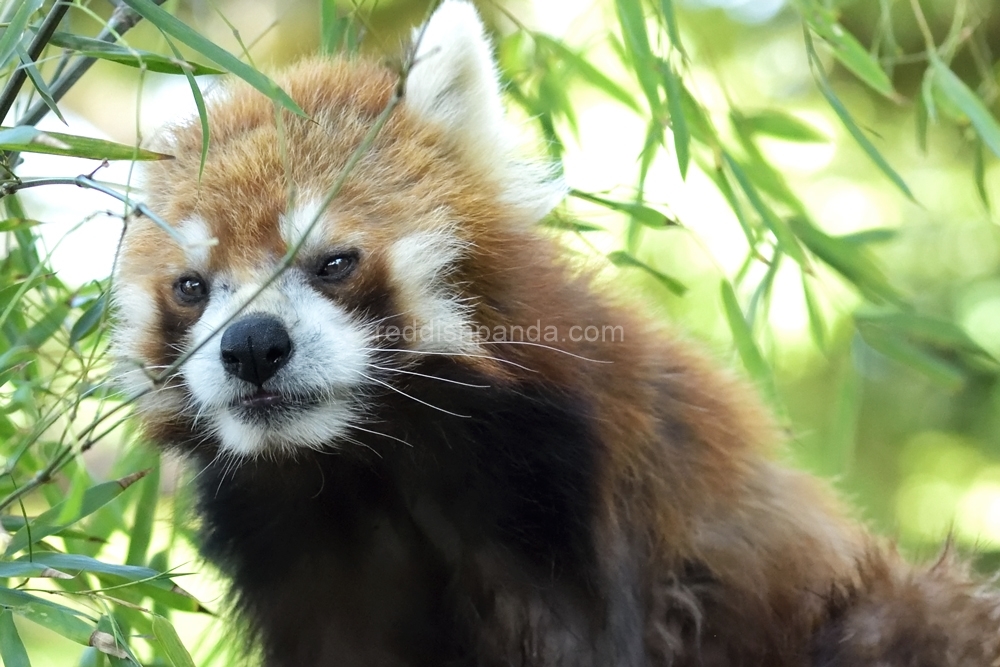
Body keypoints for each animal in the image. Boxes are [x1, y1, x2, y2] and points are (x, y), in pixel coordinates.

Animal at [109, 1, 1000, 667]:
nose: (253, 346)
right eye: (191, 287)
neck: (373, 458)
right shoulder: (308, 560)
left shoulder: (573, 506)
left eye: (333, 261)